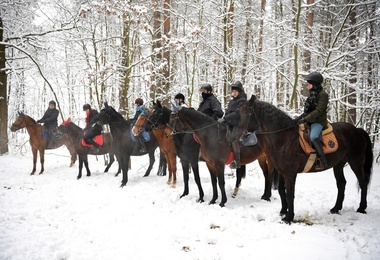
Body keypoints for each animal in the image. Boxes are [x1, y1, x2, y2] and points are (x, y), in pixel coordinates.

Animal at [238, 95, 374, 223]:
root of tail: (357, 130)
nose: (239, 135)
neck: (284, 139)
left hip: (356, 162)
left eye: (245, 111)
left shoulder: (290, 174)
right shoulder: (282, 172)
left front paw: (289, 217)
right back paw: (336, 208)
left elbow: (290, 194)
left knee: (363, 183)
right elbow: (282, 191)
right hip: (339, 164)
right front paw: (283, 212)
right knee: (341, 184)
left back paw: (361, 208)